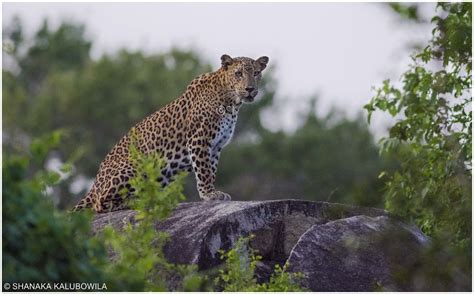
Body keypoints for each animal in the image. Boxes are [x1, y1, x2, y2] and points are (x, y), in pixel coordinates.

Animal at [72, 54, 268, 212]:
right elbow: (204, 171)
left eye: (256, 73)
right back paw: (138, 202)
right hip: (136, 165)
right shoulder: (199, 139)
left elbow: (211, 170)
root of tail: (93, 186)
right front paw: (209, 194)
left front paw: (212, 193)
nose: (250, 89)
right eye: (238, 73)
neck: (231, 103)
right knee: (101, 203)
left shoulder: (216, 146)